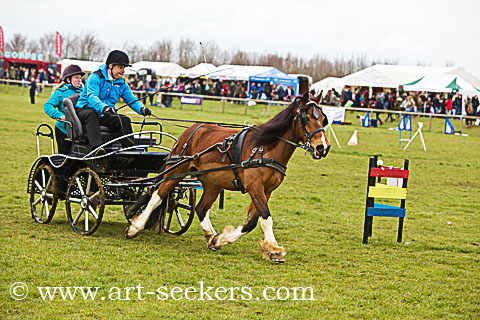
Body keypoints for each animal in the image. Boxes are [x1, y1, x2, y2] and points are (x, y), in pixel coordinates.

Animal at [124, 91, 330, 262]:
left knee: (200, 208)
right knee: (157, 196)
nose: (323, 147)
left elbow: (251, 221)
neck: (264, 147)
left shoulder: (267, 190)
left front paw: (221, 240)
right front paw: (274, 249)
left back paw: (211, 236)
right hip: (176, 170)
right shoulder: (255, 187)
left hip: (211, 182)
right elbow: (265, 218)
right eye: (307, 118)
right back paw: (135, 227)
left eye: (323, 119)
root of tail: (193, 130)